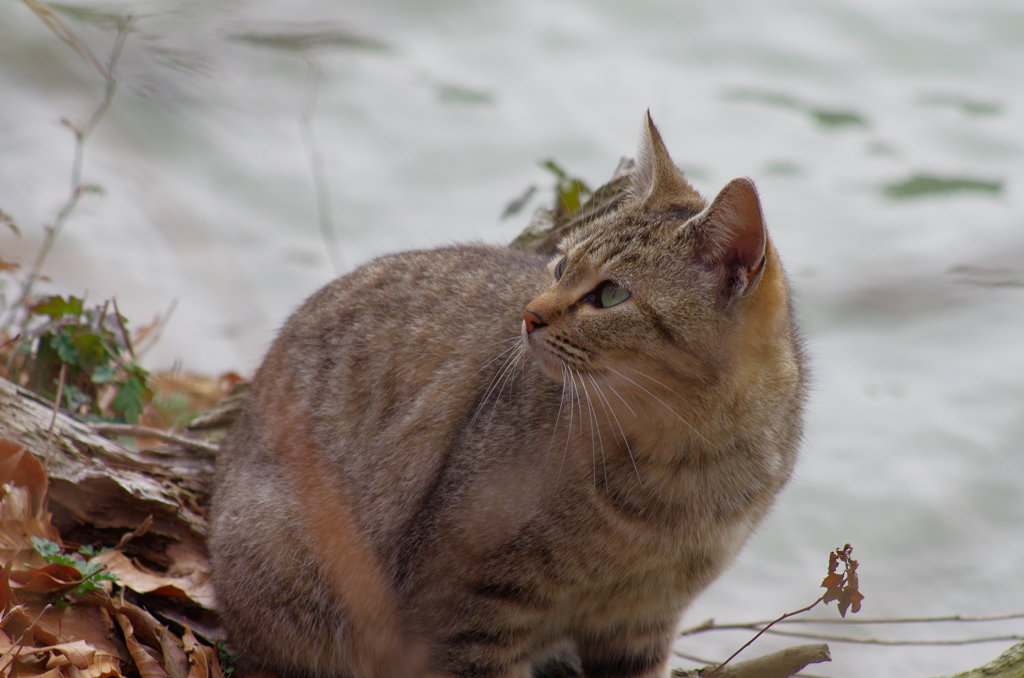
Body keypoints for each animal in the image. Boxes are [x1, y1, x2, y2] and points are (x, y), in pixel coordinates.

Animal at [207, 115, 806, 678]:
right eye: (560, 264)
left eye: (611, 294)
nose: (529, 314)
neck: (685, 466)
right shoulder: (459, 606)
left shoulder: (640, 622)